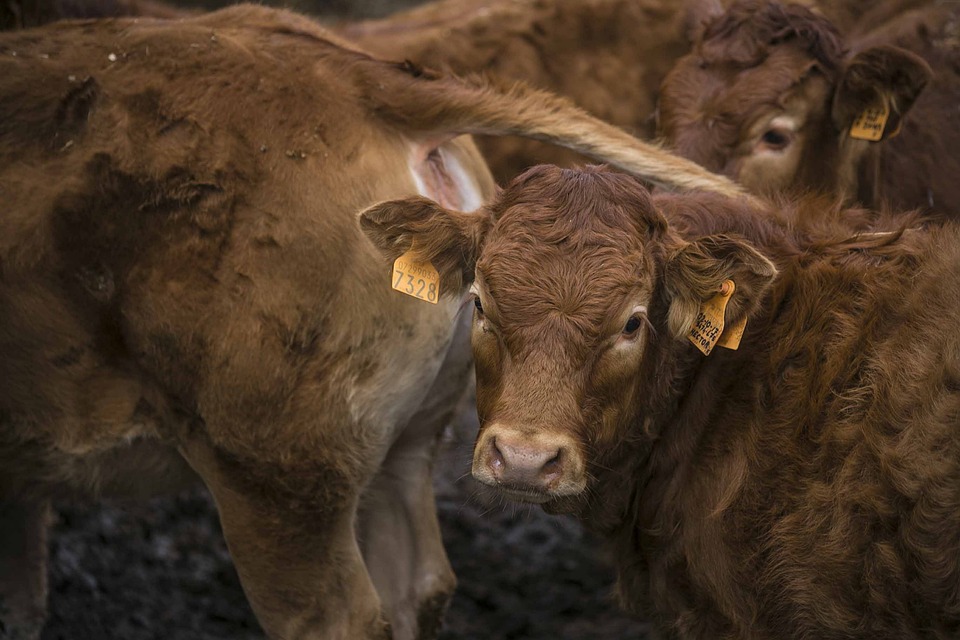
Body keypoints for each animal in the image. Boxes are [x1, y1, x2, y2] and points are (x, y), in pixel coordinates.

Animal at [0, 5, 744, 640]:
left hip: (280, 487)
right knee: (420, 585)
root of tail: (357, 77)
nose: (527, 458)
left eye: (635, 322)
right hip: (400, 451)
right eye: (481, 300)